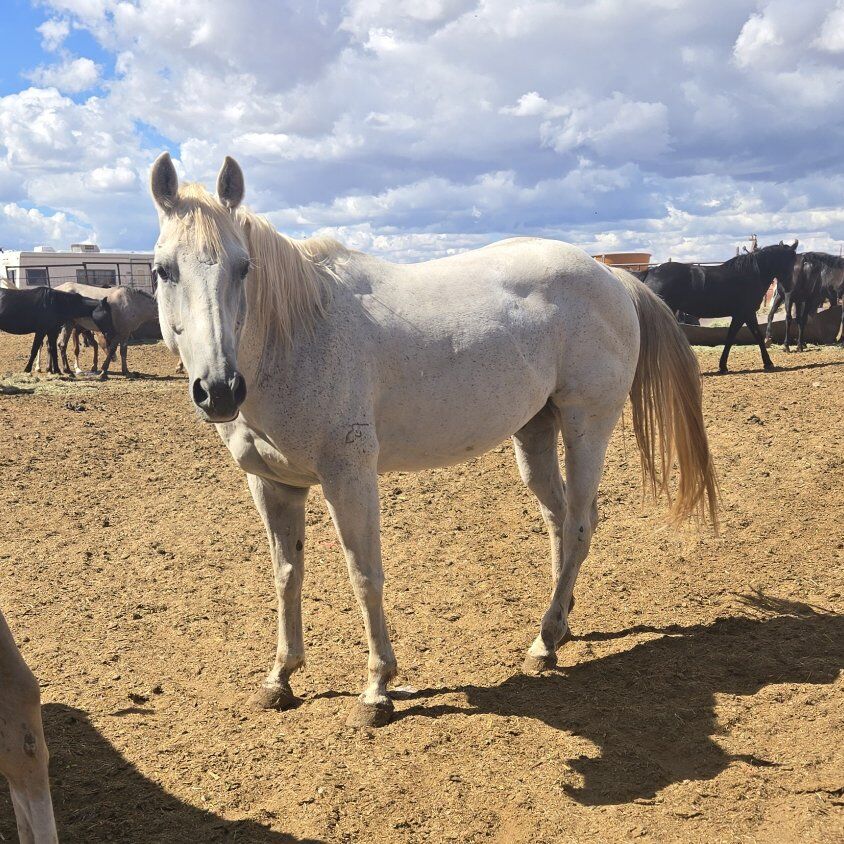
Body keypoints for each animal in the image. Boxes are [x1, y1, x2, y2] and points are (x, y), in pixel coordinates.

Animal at [148, 152, 718, 728]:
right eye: (163, 269)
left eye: (244, 267)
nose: (220, 389)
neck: (300, 336)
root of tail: (612, 276)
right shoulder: (272, 484)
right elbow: (287, 574)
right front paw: (280, 677)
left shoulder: (349, 477)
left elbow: (364, 574)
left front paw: (377, 688)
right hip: (536, 429)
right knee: (558, 519)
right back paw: (558, 628)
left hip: (588, 424)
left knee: (580, 523)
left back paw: (543, 640)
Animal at [643, 243, 799, 373]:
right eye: (789, 262)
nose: (790, 287)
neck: (752, 273)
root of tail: (651, 273)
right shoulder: (745, 313)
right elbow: (754, 336)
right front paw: (768, 363)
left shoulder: (742, 315)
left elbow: (734, 337)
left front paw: (723, 366)